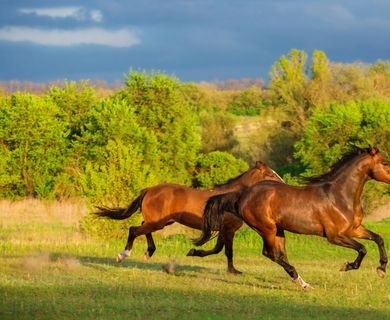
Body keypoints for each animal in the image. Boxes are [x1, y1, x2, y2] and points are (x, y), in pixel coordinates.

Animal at [94, 160, 284, 272]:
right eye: (270, 174)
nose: (283, 184)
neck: (231, 197)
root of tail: (149, 190)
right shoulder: (229, 229)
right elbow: (227, 251)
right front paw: (234, 271)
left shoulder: (223, 230)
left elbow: (218, 249)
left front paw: (194, 252)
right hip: (157, 222)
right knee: (134, 229)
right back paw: (122, 255)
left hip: (161, 222)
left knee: (142, 227)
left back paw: (149, 252)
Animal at [197, 146, 388, 288]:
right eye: (385, 162)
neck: (339, 196)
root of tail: (242, 195)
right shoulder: (335, 236)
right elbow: (362, 248)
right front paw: (347, 266)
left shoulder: (354, 229)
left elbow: (378, 238)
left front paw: (382, 268)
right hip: (267, 229)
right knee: (270, 253)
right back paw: (302, 282)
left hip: (279, 230)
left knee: (280, 255)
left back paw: (301, 281)